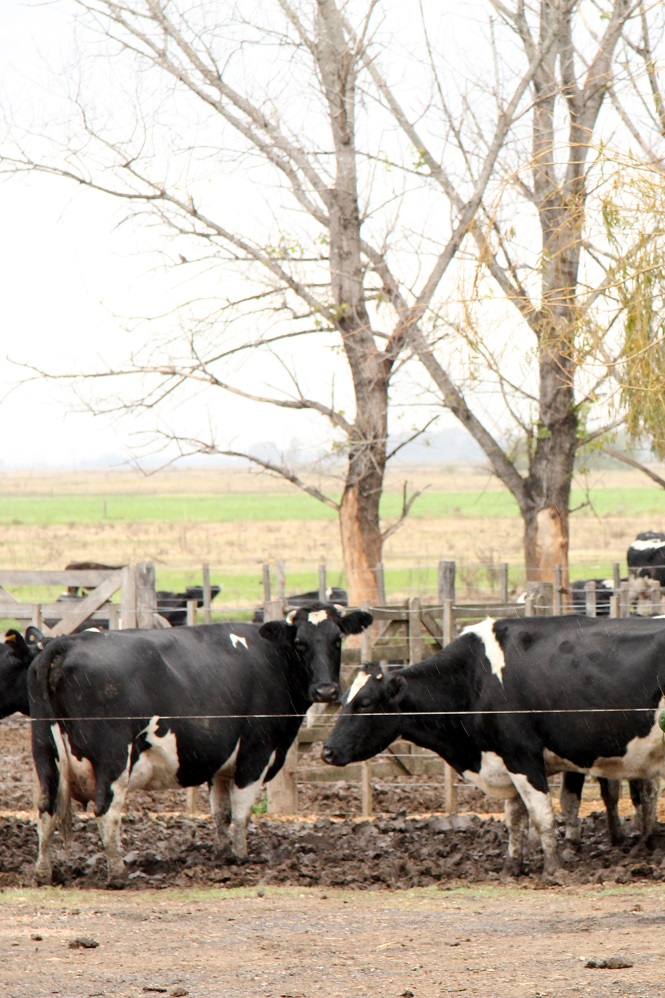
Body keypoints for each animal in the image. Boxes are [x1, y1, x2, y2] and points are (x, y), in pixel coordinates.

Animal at [29, 604, 374, 888]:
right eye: (300, 643)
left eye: (337, 641)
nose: (326, 690)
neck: (274, 658)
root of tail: (67, 642)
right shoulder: (256, 753)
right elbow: (241, 811)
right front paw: (240, 856)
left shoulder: (220, 762)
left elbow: (220, 812)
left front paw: (223, 854)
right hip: (112, 756)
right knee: (106, 810)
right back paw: (117, 873)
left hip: (45, 752)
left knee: (46, 808)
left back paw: (44, 872)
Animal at [322, 612, 664, 880]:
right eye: (344, 699)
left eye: (365, 703)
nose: (327, 751)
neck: (475, 679)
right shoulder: (504, 761)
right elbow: (515, 819)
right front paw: (513, 866)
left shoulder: (523, 758)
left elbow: (542, 816)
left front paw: (553, 869)